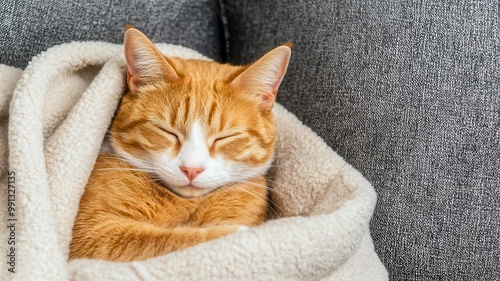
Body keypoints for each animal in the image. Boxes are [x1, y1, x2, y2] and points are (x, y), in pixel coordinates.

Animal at [68, 27, 292, 262]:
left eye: (224, 138)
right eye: (168, 132)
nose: (191, 170)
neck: (186, 202)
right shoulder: (91, 234)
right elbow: (164, 241)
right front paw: (233, 235)